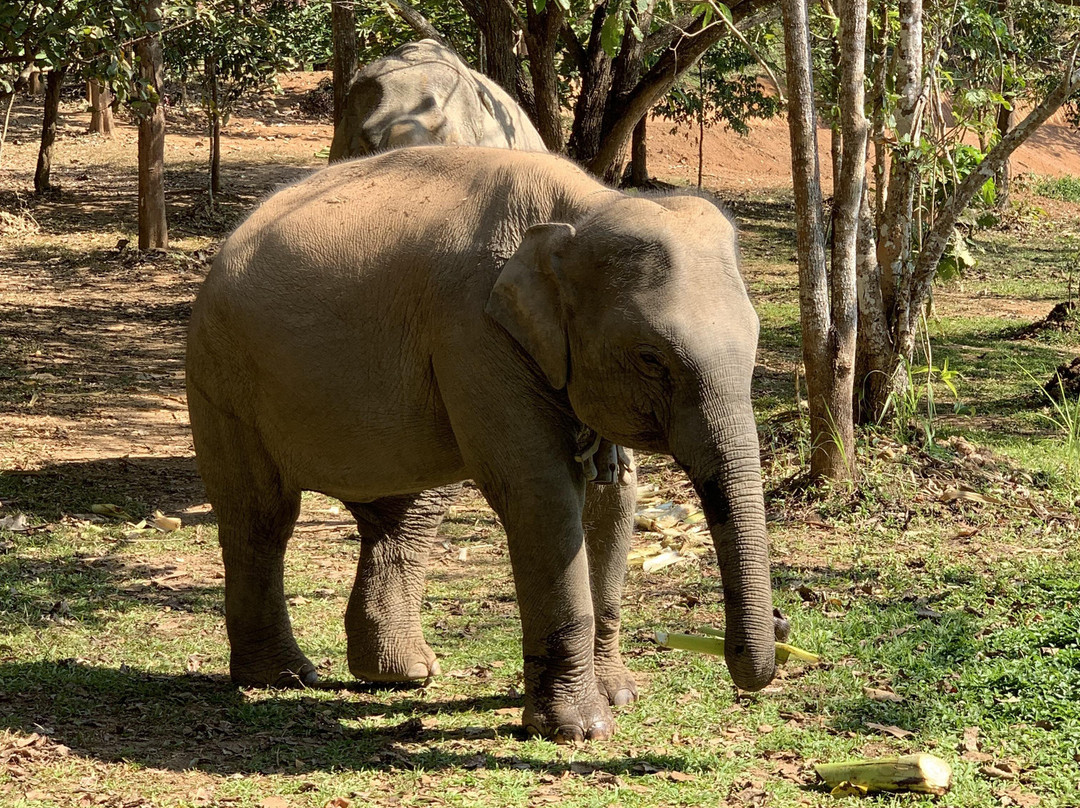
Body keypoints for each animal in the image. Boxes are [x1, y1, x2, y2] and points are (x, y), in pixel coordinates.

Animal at [186, 146, 778, 743]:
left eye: (755, 340)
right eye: (652, 358)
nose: (778, 624)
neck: (583, 209)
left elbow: (616, 497)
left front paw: (622, 697)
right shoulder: (473, 333)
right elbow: (542, 494)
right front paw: (581, 730)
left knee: (405, 514)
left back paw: (403, 674)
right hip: (220, 375)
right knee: (262, 516)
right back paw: (285, 676)